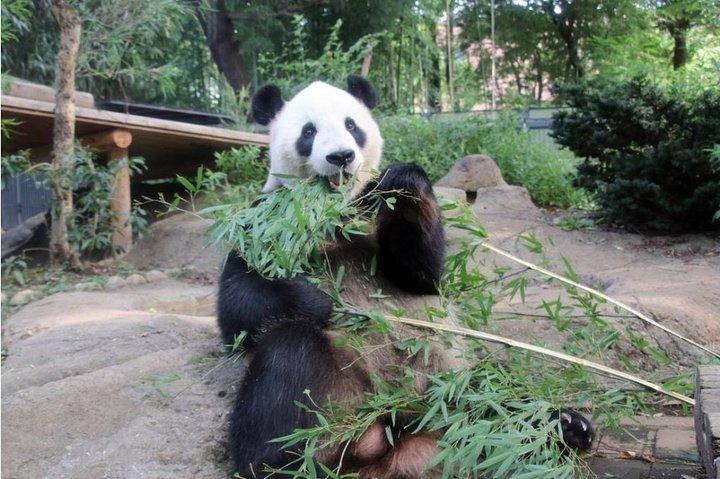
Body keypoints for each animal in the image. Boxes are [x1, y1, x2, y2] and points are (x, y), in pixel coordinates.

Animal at [217, 76, 594, 478]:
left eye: (352, 125)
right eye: (308, 131)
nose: (341, 157)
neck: (333, 210)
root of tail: (405, 430)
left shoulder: (372, 214)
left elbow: (421, 274)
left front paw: (405, 184)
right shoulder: (263, 219)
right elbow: (239, 304)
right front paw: (319, 299)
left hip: (455, 379)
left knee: (497, 394)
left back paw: (565, 427)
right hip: (338, 390)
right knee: (287, 357)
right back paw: (285, 464)